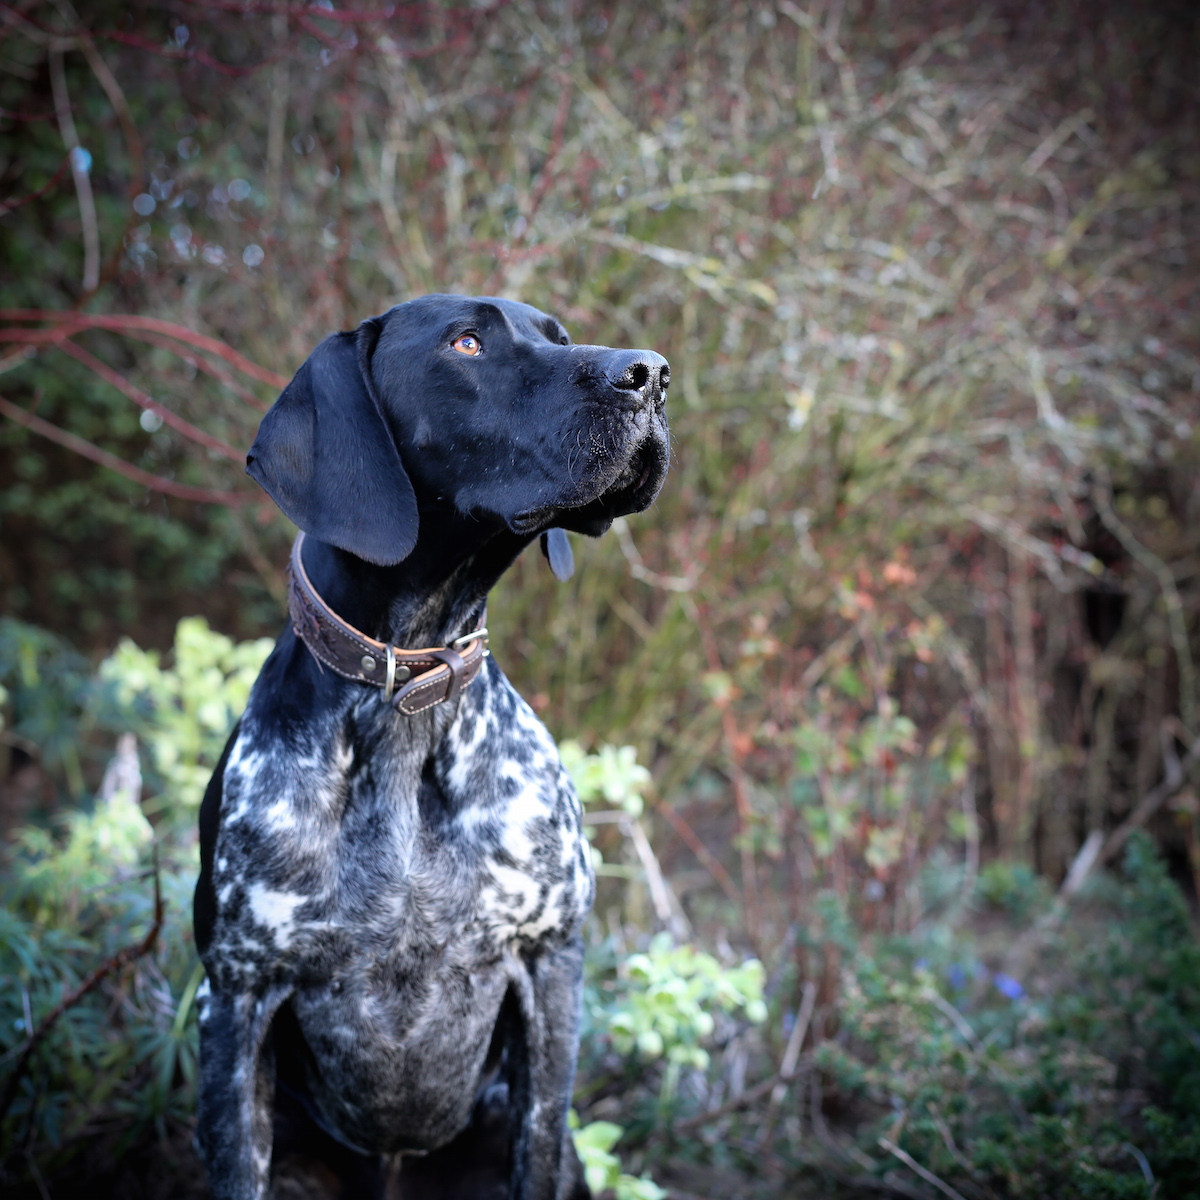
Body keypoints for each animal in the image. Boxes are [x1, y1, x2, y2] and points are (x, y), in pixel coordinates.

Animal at [192, 292, 672, 1200]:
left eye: (559, 337)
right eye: (468, 343)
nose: (653, 372)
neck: (405, 696)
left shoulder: (550, 969)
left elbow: (540, 1142)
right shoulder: (235, 997)